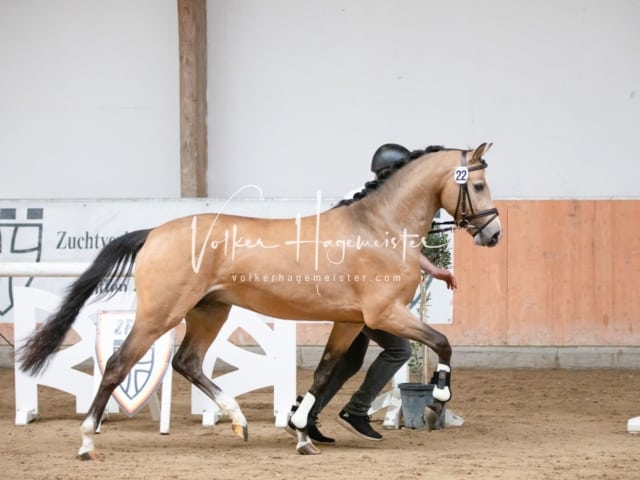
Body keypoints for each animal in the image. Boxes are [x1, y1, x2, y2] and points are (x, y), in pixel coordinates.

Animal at [17, 142, 502, 458]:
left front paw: (303, 433)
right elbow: (442, 343)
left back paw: (239, 421)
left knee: (188, 362)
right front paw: (438, 400)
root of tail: (153, 233)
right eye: (478, 185)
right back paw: (86, 441)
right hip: (161, 314)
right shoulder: (386, 314)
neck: (378, 228)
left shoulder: (350, 321)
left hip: (210, 311)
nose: (493, 234)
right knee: (119, 364)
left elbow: (325, 373)